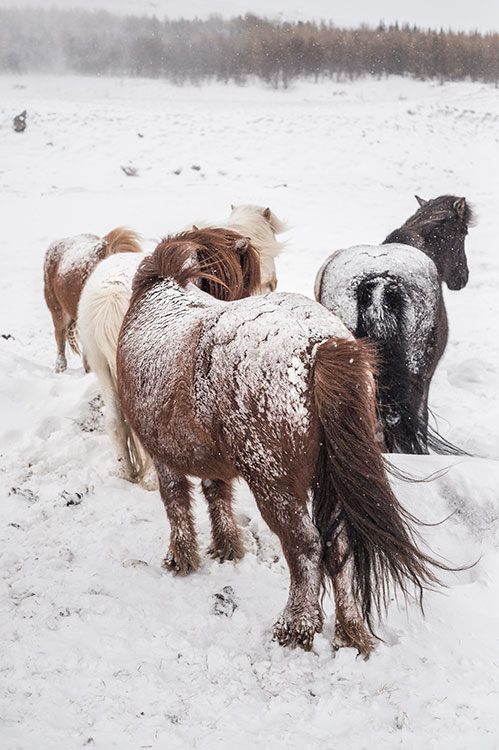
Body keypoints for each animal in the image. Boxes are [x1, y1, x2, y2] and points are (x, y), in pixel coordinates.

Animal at [118, 229, 450, 656]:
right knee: (339, 547)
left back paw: (296, 626)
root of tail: (320, 345)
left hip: (273, 483)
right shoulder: (208, 458)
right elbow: (215, 493)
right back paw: (350, 632)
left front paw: (182, 557)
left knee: (305, 545)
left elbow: (176, 501)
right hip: (328, 482)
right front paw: (226, 547)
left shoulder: (163, 456)